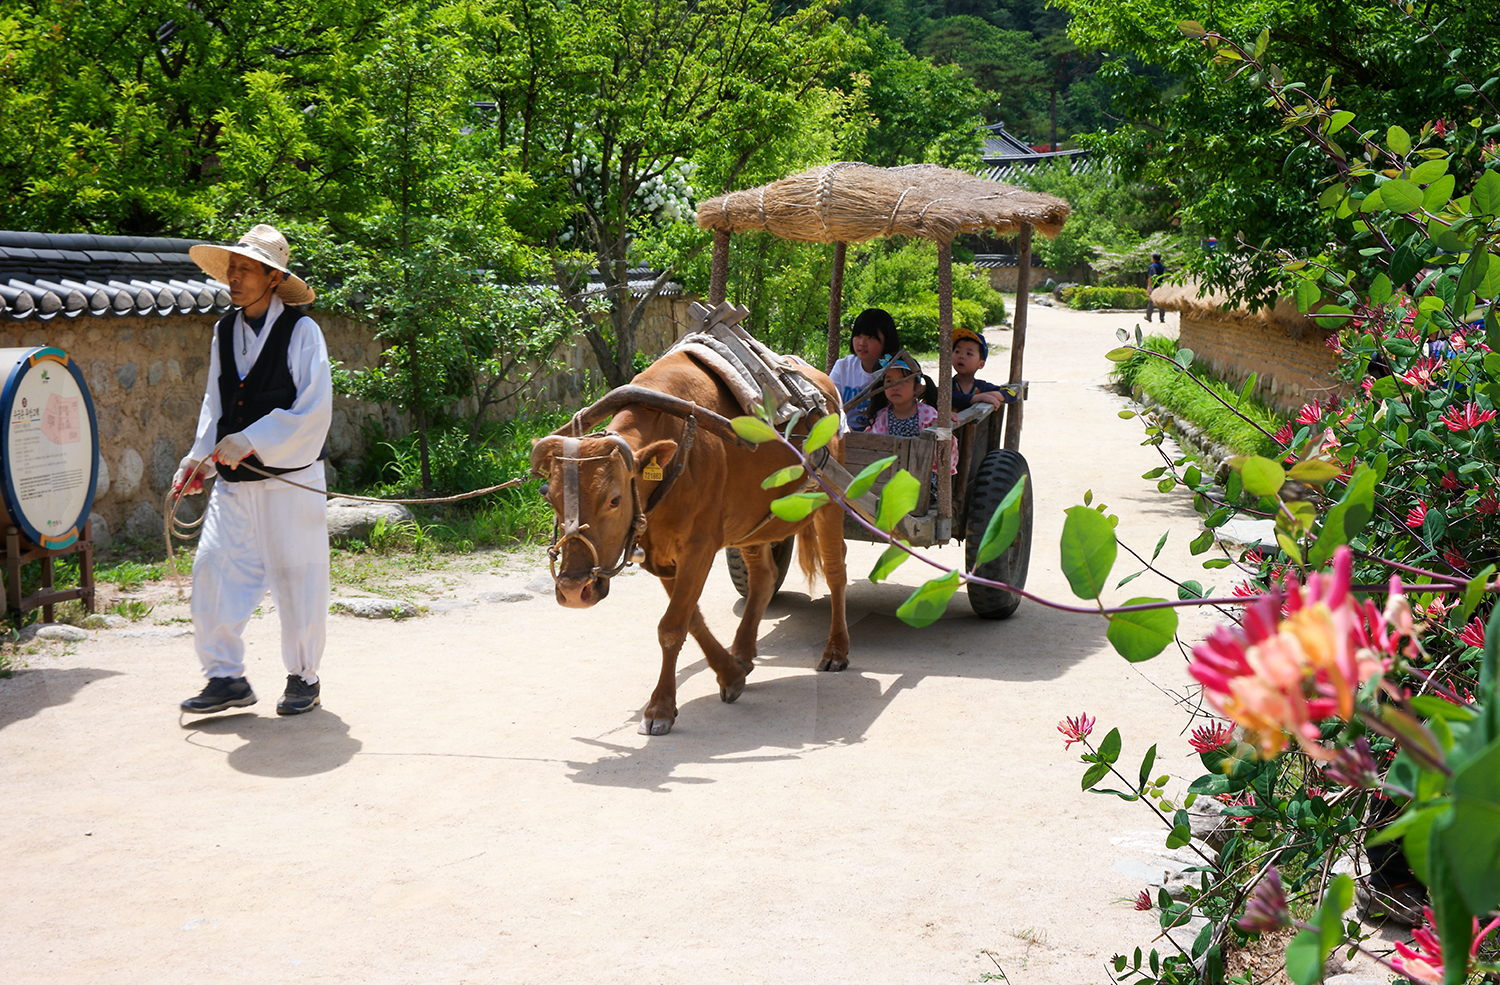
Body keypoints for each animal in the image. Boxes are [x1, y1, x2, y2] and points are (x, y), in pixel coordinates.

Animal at [530, 351, 849, 735]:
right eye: (549, 496)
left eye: (614, 499)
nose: (574, 590)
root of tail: (822, 382)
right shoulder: (662, 557)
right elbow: (689, 620)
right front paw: (730, 673)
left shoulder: (699, 547)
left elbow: (671, 626)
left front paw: (660, 708)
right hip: (750, 524)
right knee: (764, 578)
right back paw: (743, 653)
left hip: (830, 501)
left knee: (835, 570)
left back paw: (836, 651)